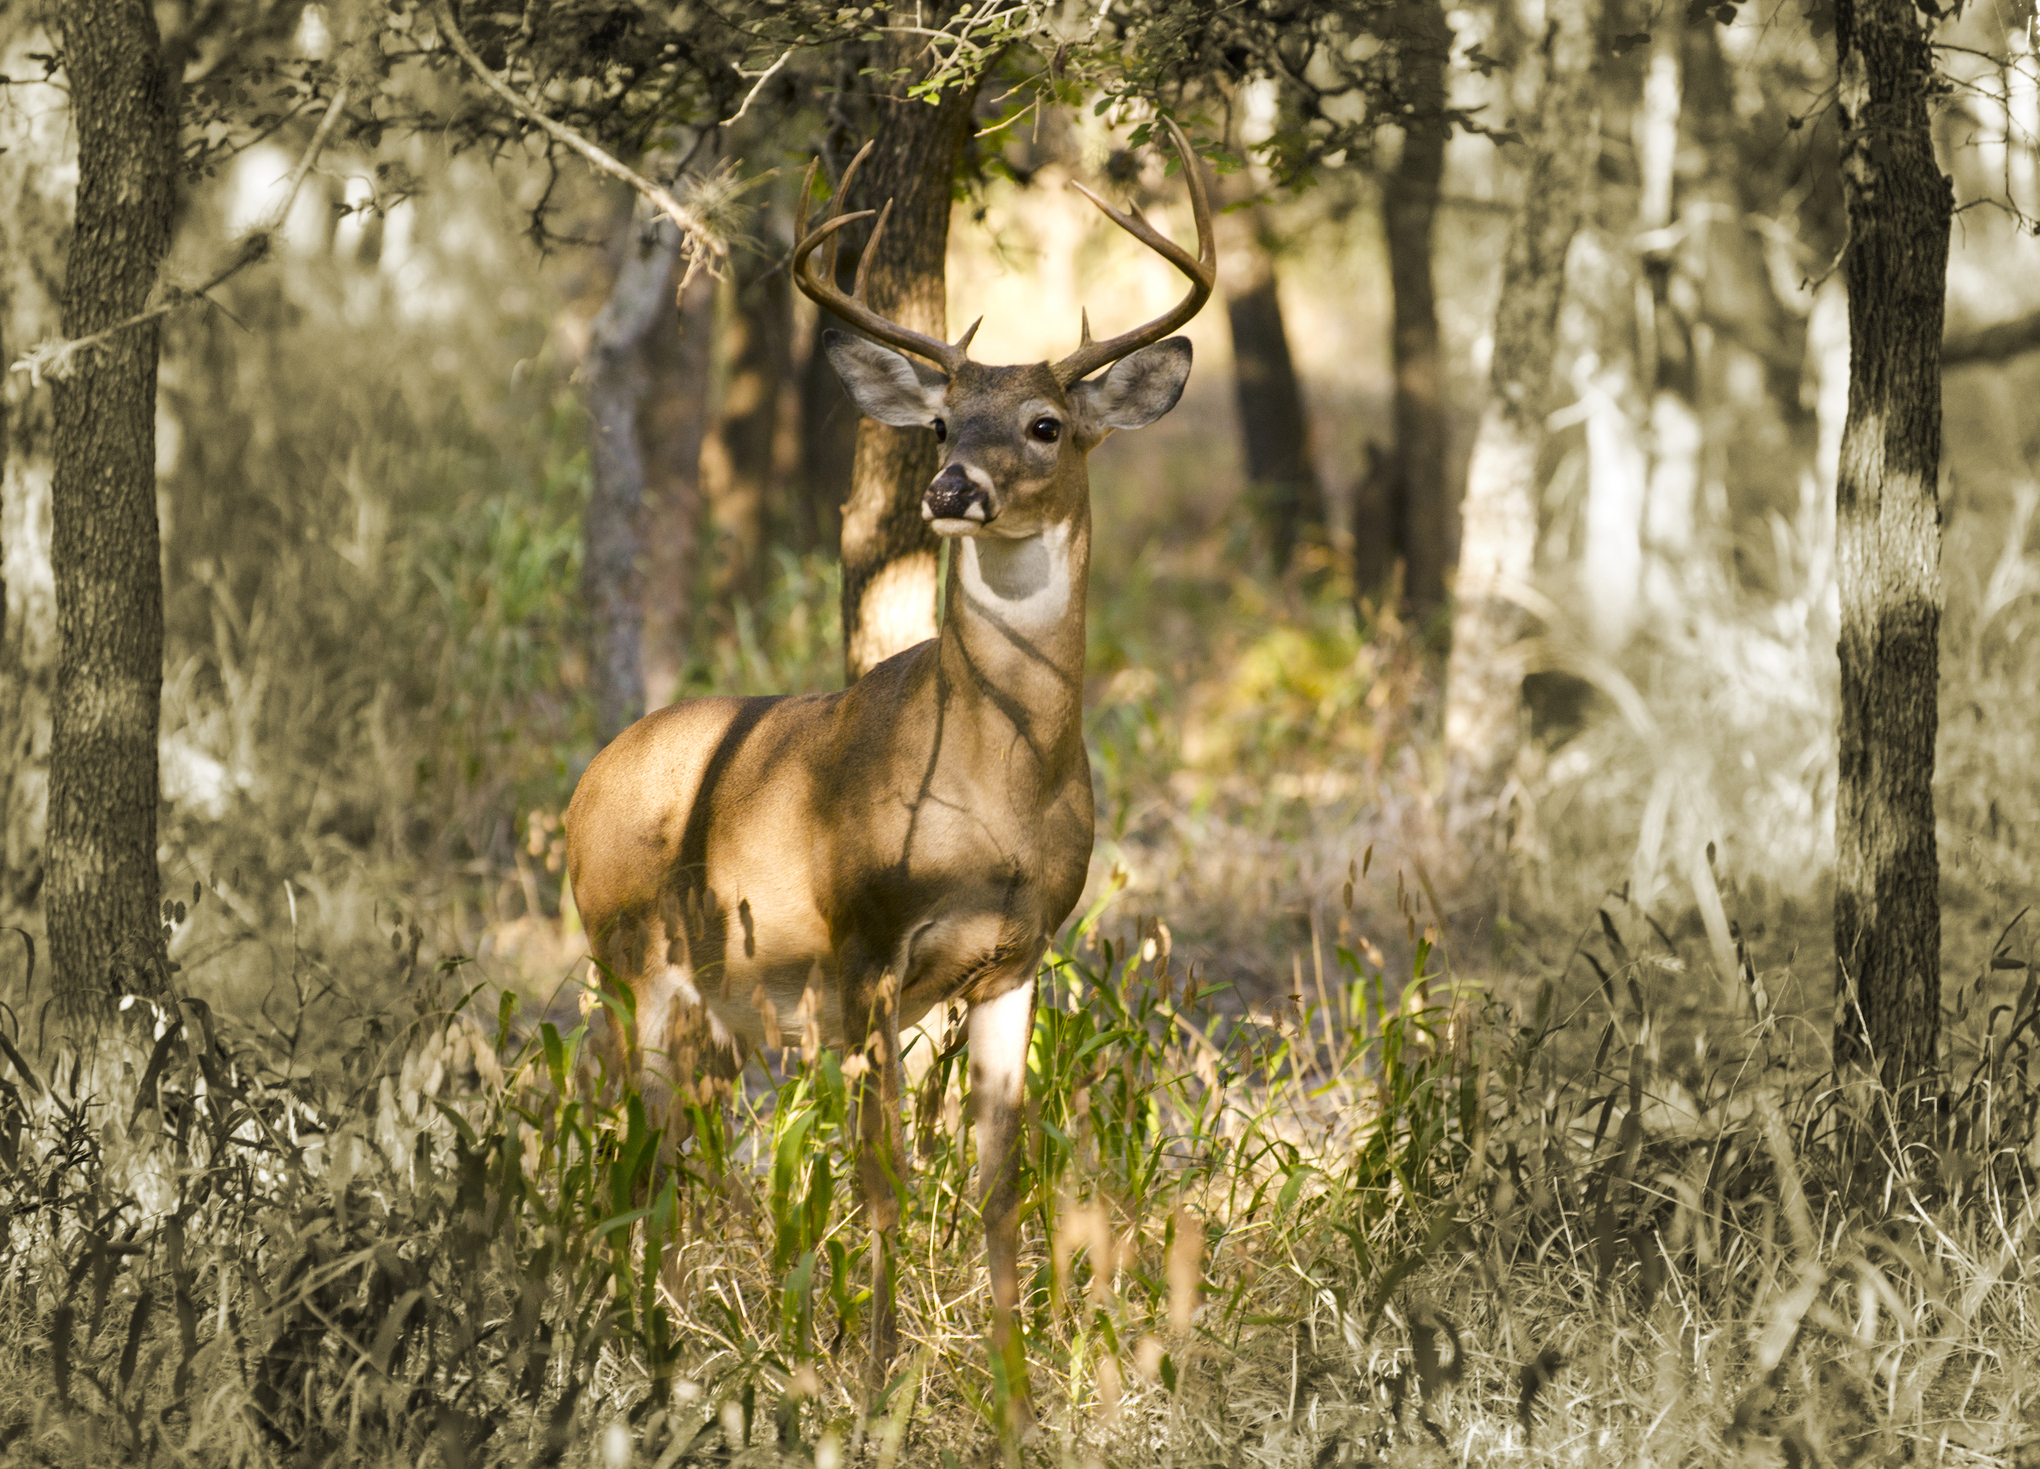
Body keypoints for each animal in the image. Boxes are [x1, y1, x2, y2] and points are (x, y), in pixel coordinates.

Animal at [563, 117, 1207, 1436]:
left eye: (1046, 424)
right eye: (943, 422)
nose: (951, 491)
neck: (999, 794)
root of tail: (579, 788)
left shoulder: (1017, 953)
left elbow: (1001, 1180)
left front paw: (1014, 1401)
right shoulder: (861, 948)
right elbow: (885, 1179)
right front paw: (876, 1388)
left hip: (725, 1005)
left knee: (687, 1150)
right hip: (633, 960)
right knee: (640, 1151)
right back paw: (656, 1348)